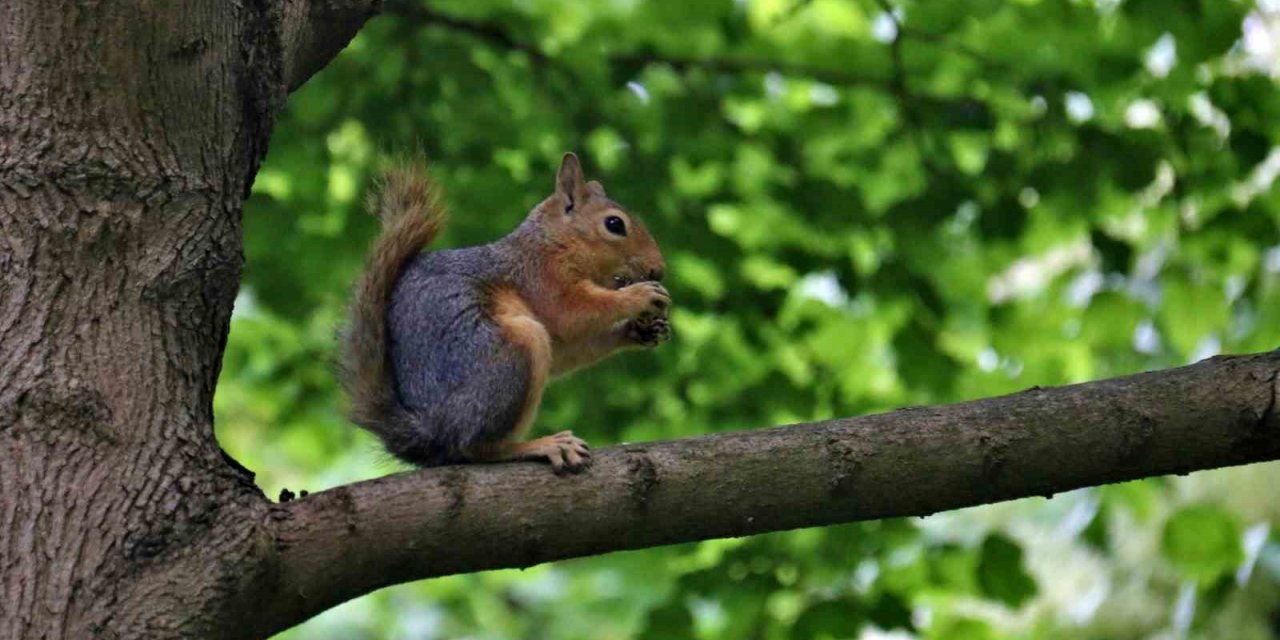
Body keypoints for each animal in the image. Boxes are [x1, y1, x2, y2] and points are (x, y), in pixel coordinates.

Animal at [345, 153, 675, 476]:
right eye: (614, 224)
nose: (657, 269)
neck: (554, 243)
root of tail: (430, 432)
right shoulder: (542, 280)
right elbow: (573, 313)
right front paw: (640, 295)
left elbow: (569, 350)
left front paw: (639, 331)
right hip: (510, 355)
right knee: (472, 448)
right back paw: (541, 445)